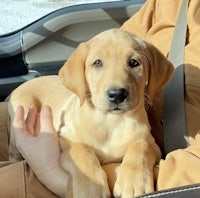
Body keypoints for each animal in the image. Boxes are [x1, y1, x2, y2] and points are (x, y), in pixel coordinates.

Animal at [8, 28, 173, 197]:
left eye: (134, 62)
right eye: (97, 63)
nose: (117, 94)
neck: (111, 122)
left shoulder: (151, 142)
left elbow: (141, 147)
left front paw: (133, 182)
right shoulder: (67, 137)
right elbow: (83, 152)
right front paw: (91, 188)